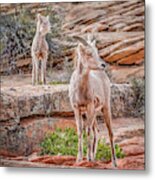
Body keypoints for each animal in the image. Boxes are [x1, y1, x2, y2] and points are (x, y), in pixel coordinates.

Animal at [68, 34, 117, 167]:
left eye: (96, 51)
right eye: (89, 53)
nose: (103, 65)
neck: (80, 89)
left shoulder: (89, 106)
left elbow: (88, 131)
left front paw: (88, 158)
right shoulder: (77, 108)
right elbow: (80, 131)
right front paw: (79, 158)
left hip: (105, 108)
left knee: (110, 133)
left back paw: (114, 162)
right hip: (94, 113)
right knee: (97, 132)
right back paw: (94, 159)